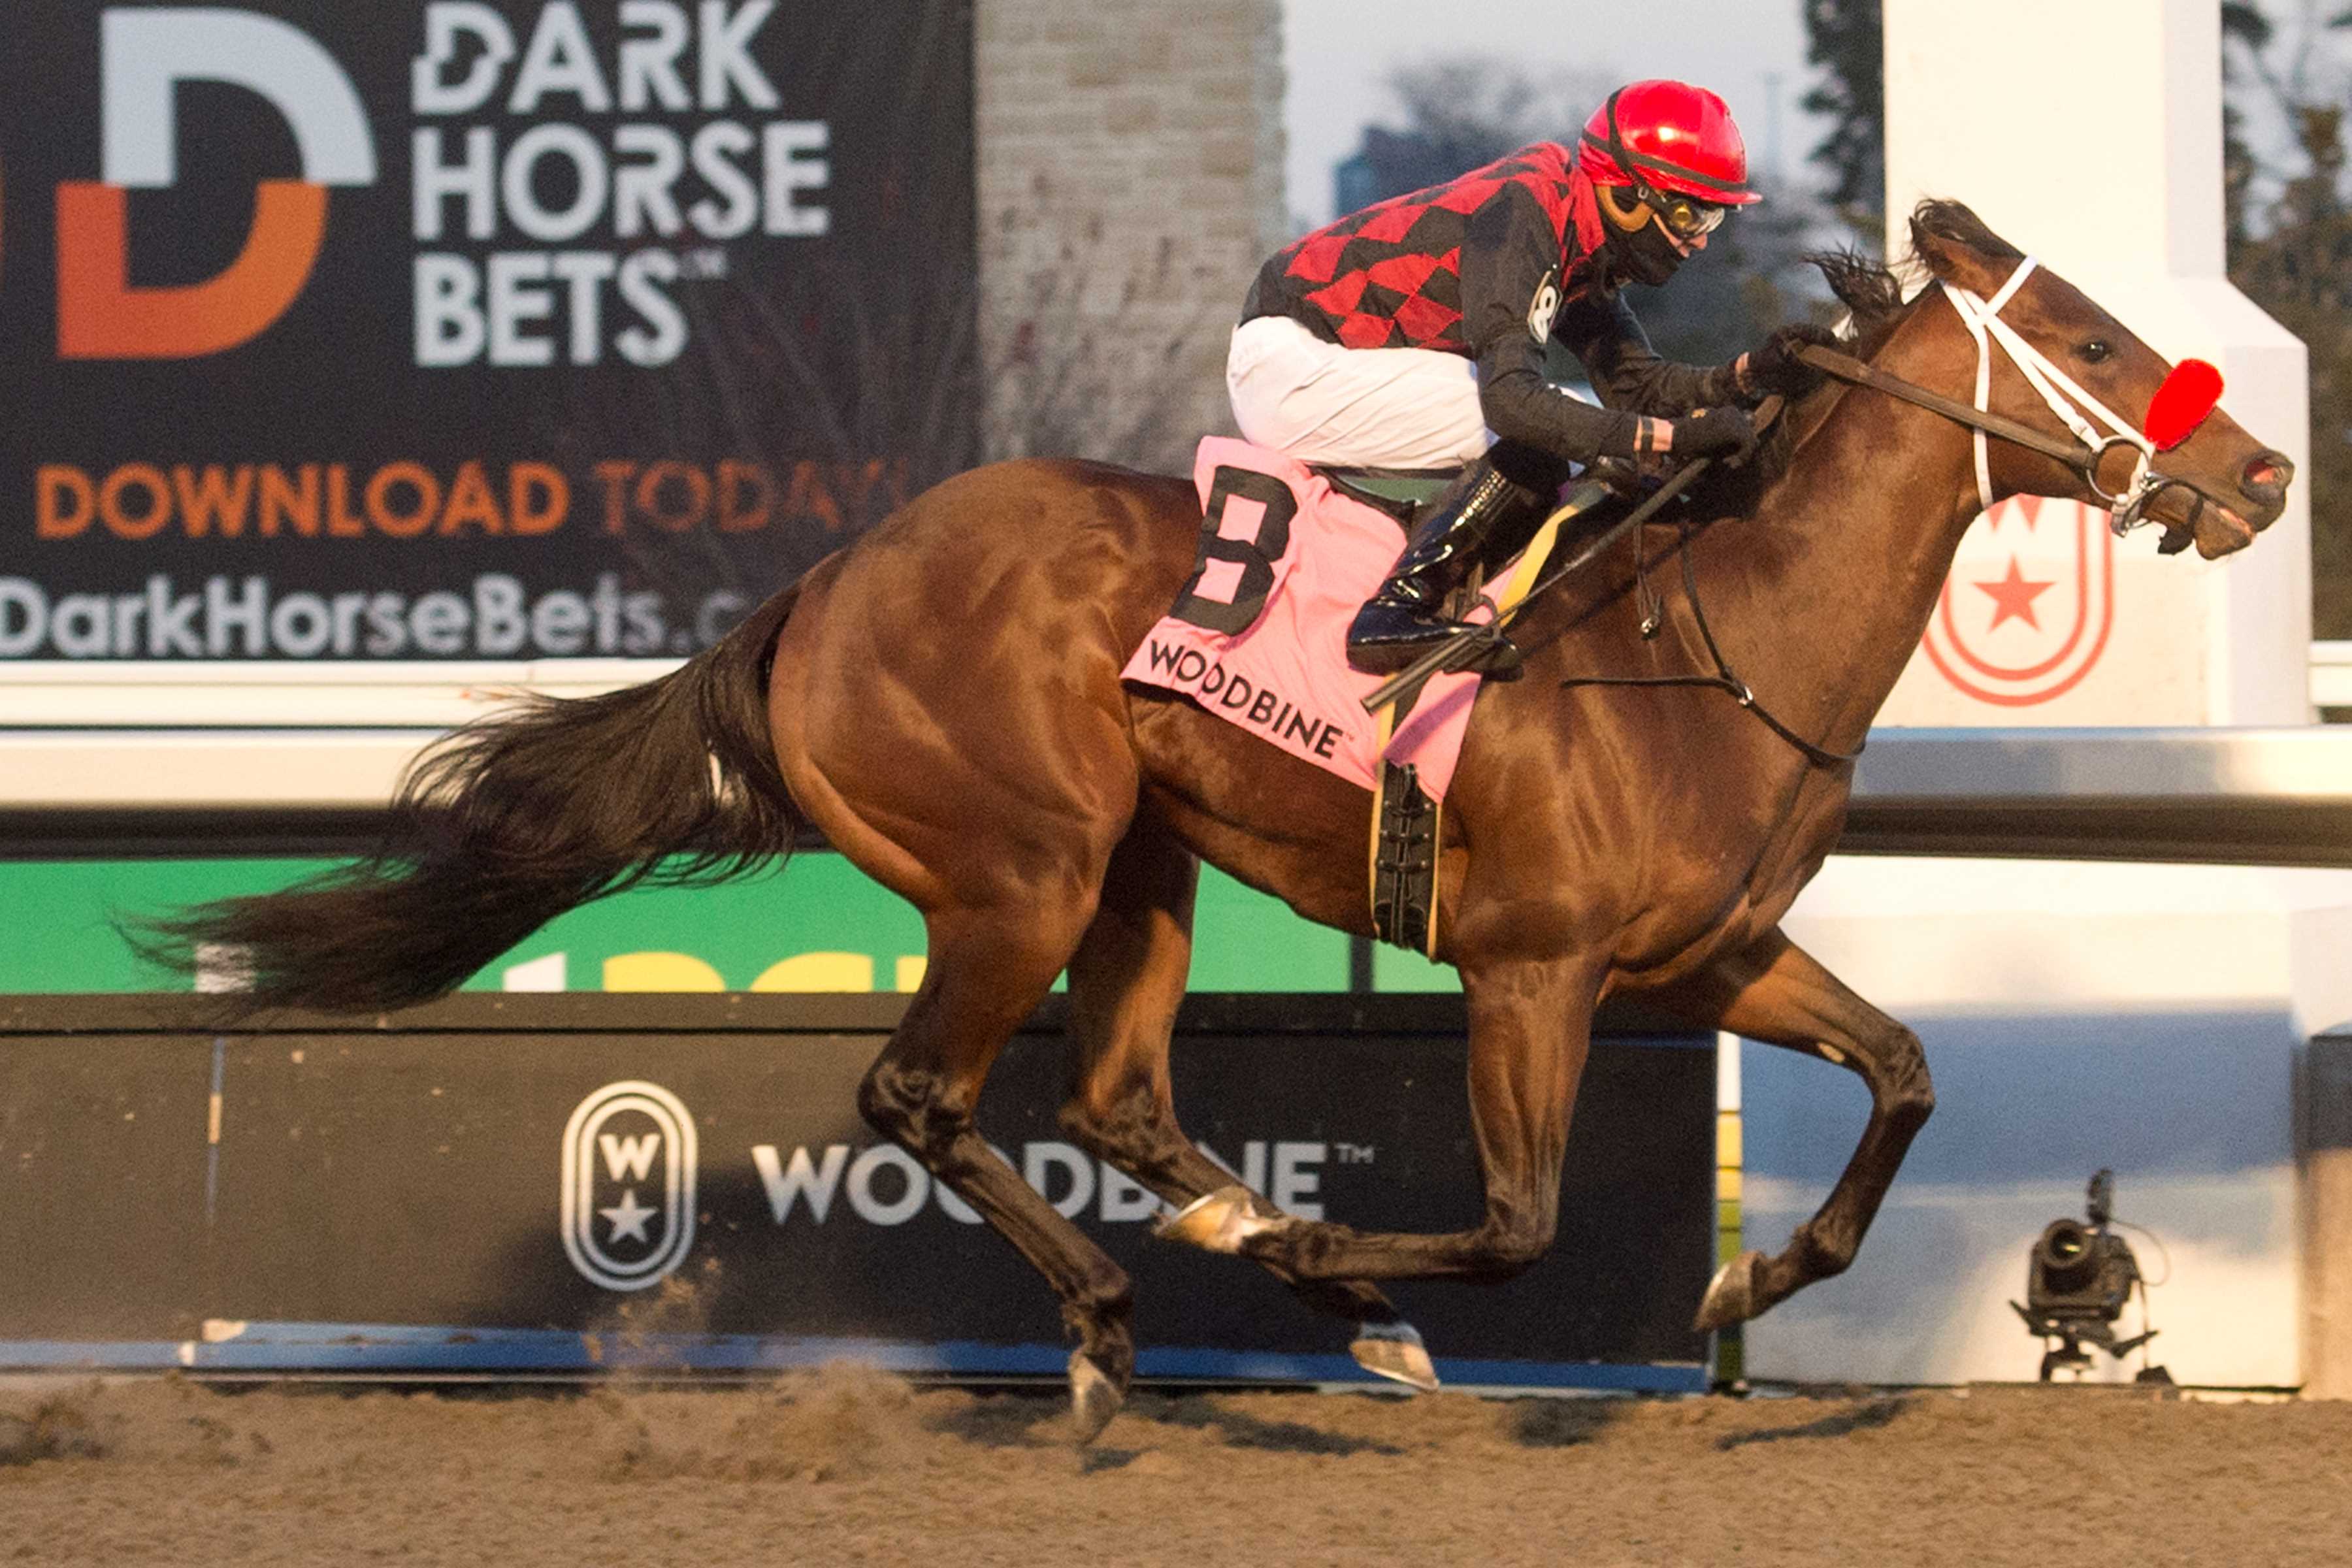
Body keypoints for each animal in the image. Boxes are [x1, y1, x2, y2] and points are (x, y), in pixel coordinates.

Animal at [171, 202, 2295, 1439]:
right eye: (2092, 342)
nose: (2266, 471)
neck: (1715, 635)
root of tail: (828, 583)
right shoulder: (1536, 967)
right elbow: (1517, 1220)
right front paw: (1349, 1258)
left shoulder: (1714, 953)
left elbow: (1909, 1070)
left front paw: (1741, 1283)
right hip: (1020, 863)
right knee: (922, 1093)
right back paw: (1147, 1305)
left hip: (1138, 859)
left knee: (1116, 1093)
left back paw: (1256, 1262)